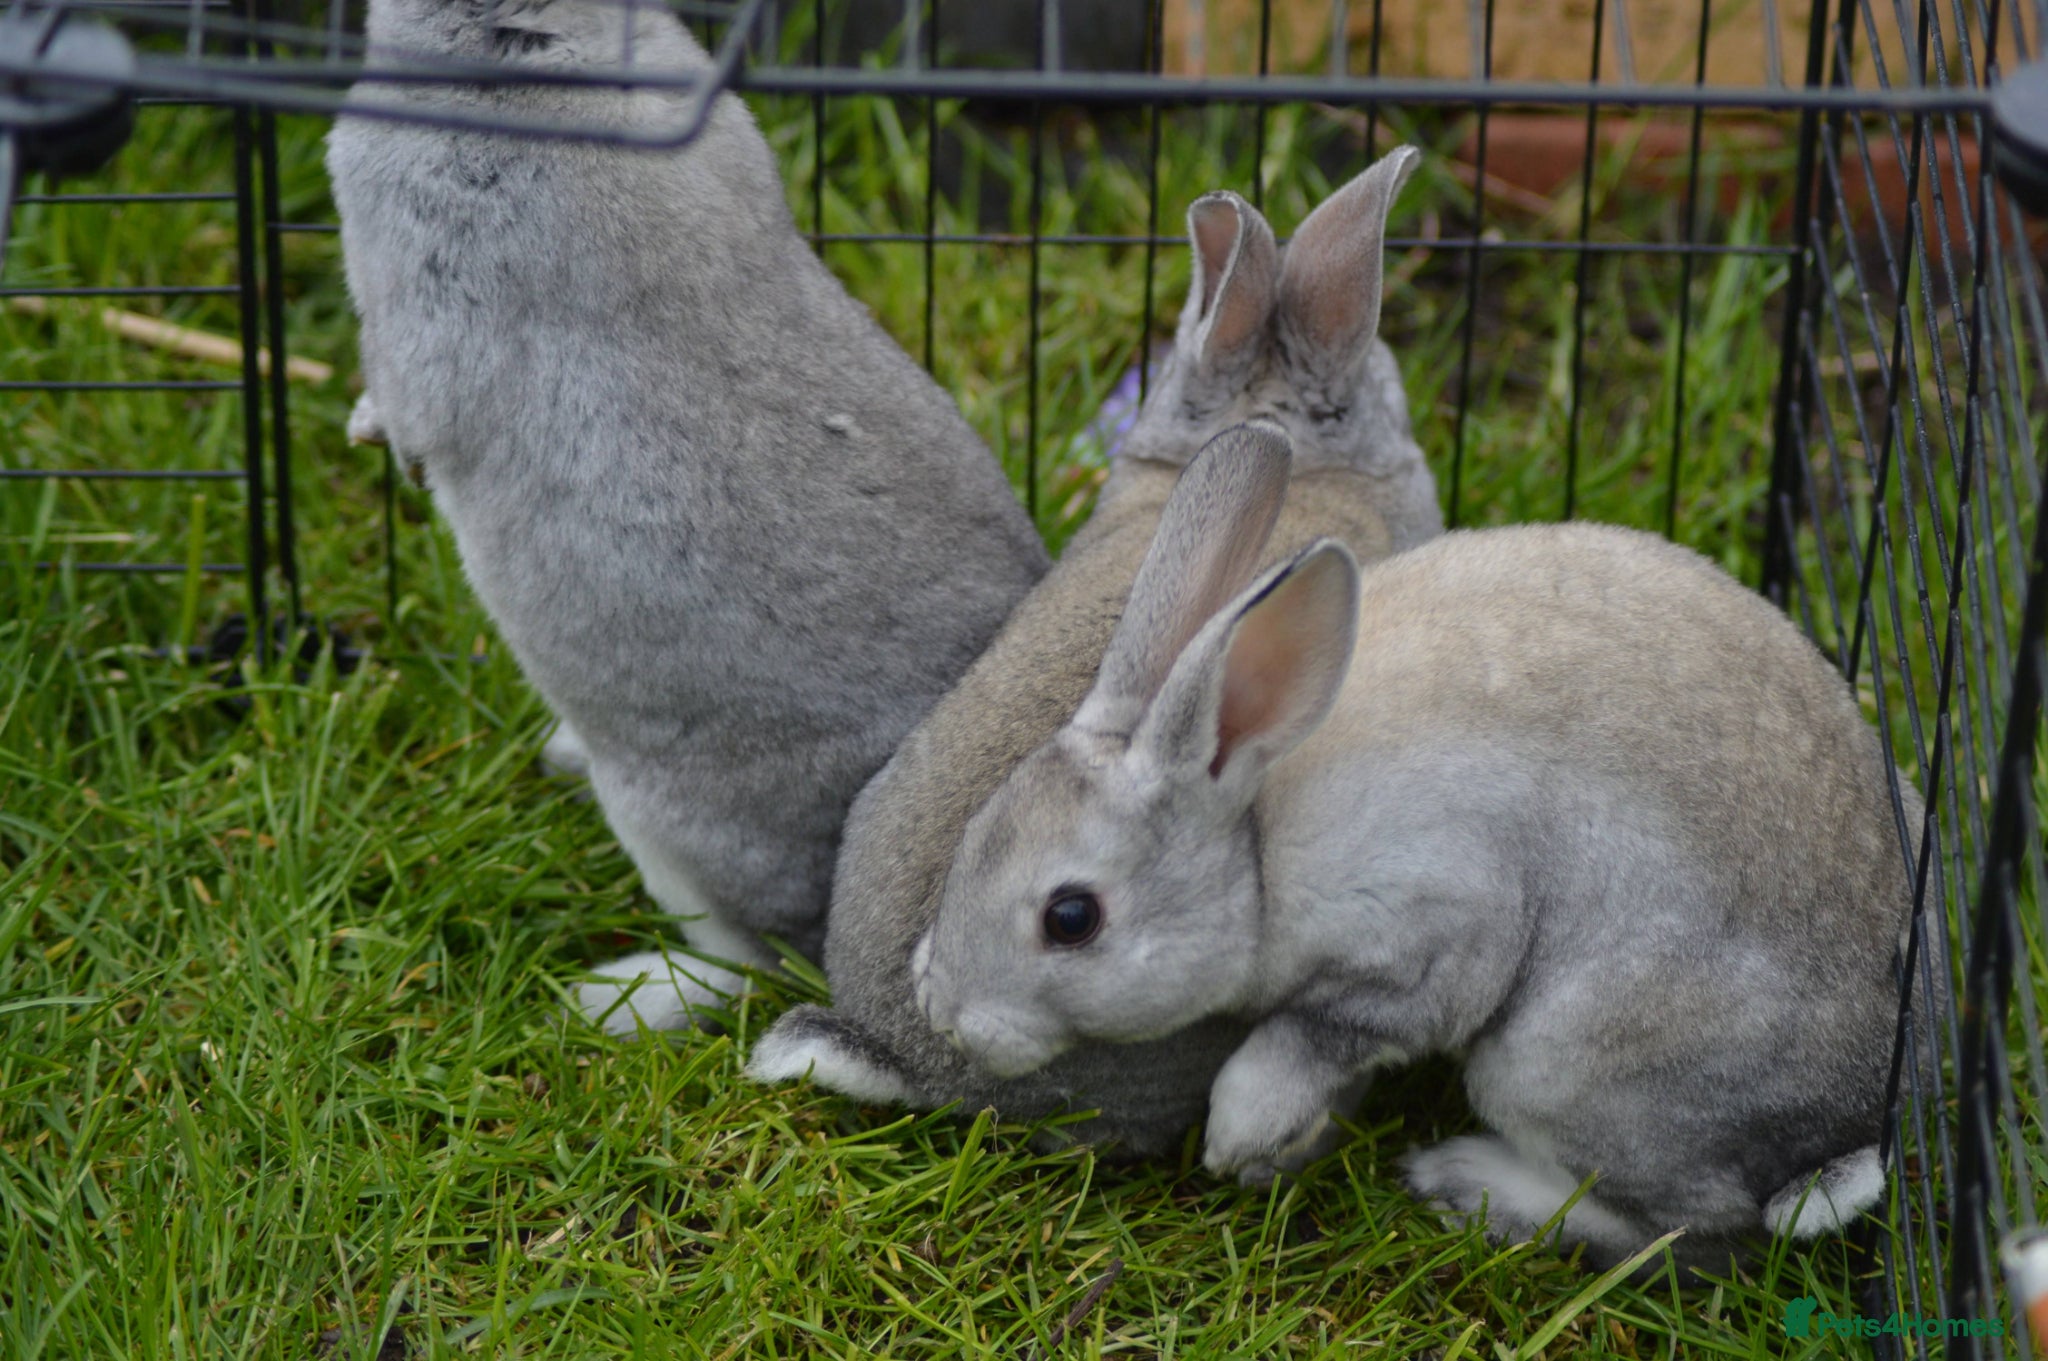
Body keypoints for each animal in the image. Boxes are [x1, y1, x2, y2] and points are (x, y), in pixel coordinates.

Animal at [909, 418, 1923, 1268]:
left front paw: (1238, 1138)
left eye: (1071, 917)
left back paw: (1467, 1184)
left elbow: (1313, 1035)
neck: (1255, 835)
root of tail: (1854, 1113)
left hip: (1560, 1064)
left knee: (1694, 1228)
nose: (945, 1013)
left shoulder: (1430, 933)